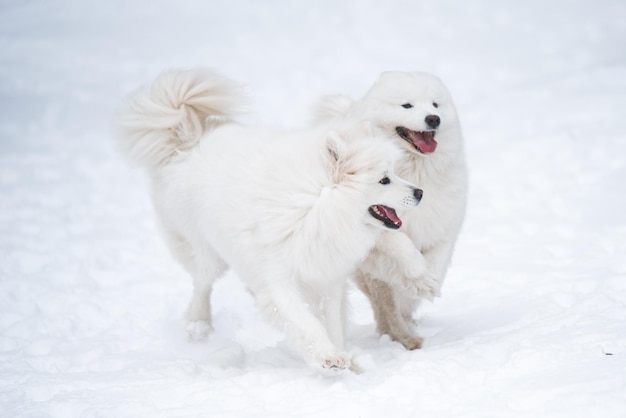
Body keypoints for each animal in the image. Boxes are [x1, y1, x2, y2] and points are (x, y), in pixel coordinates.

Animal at [116, 69, 424, 372]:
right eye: (384, 180)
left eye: (394, 173)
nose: (420, 192)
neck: (315, 206)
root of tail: (189, 140)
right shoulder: (280, 279)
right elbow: (307, 321)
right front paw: (327, 356)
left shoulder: (328, 277)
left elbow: (332, 322)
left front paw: (343, 359)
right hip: (209, 252)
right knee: (202, 283)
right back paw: (198, 325)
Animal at [314, 71, 466, 350]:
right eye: (407, 105)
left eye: (435, 105)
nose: (433, 119)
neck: (415, 169)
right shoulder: (378, 231)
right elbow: (402, 248)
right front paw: (420, 280)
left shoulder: (443, 224)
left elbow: (437, 262)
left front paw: (427, 285)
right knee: (385, 307)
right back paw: (403, 337)